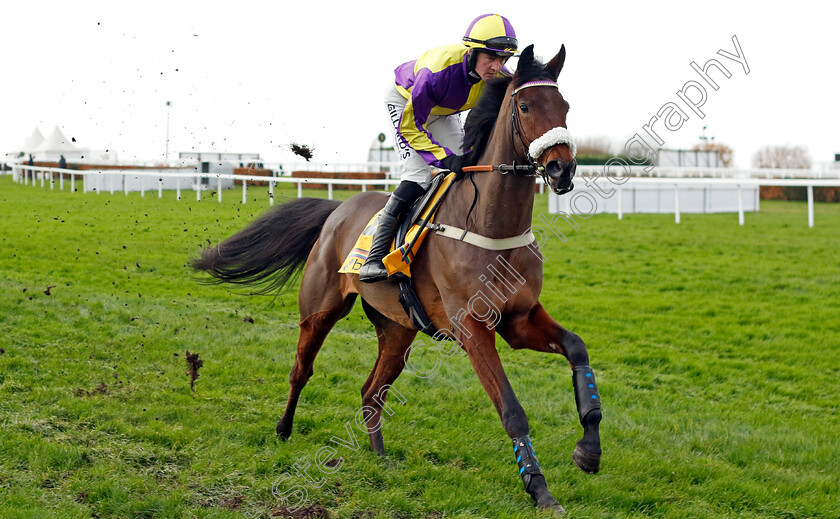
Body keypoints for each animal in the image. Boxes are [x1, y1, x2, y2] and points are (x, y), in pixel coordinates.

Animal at [194, 45, 600, 516]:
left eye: (565, 106)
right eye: (526, 106)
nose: (562, 169)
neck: (490, 226)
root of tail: (336, 210)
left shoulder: (519, 318)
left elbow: (577, 347)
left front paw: (589, 449)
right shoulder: (472, 328)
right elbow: (511, 409)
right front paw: (540, 489)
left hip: (397, 328)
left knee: (371, 391)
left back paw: (380, 457)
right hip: (320, 311)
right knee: (301, 370)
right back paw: (282, 430)